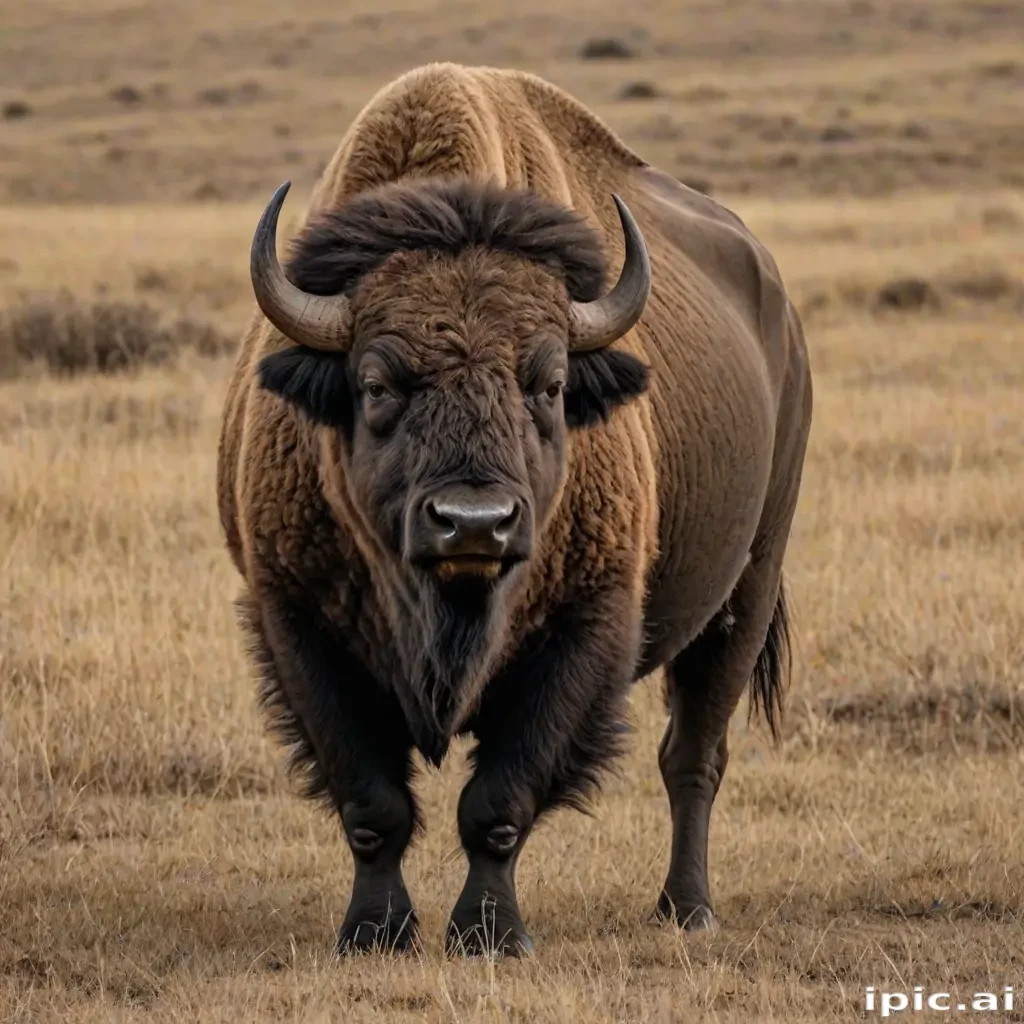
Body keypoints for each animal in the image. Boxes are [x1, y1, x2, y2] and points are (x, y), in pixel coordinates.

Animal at [217, 62, 812, 957]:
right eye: (377, 383)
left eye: (551, 383)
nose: (475, 523)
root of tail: (778, 310)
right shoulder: (299, 625)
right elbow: (371, 804)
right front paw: (374, 932)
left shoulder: (584, 625)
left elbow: (497, 804)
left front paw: (491, 934)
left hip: (746, 589)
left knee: (693, 756)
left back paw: (688, 909)